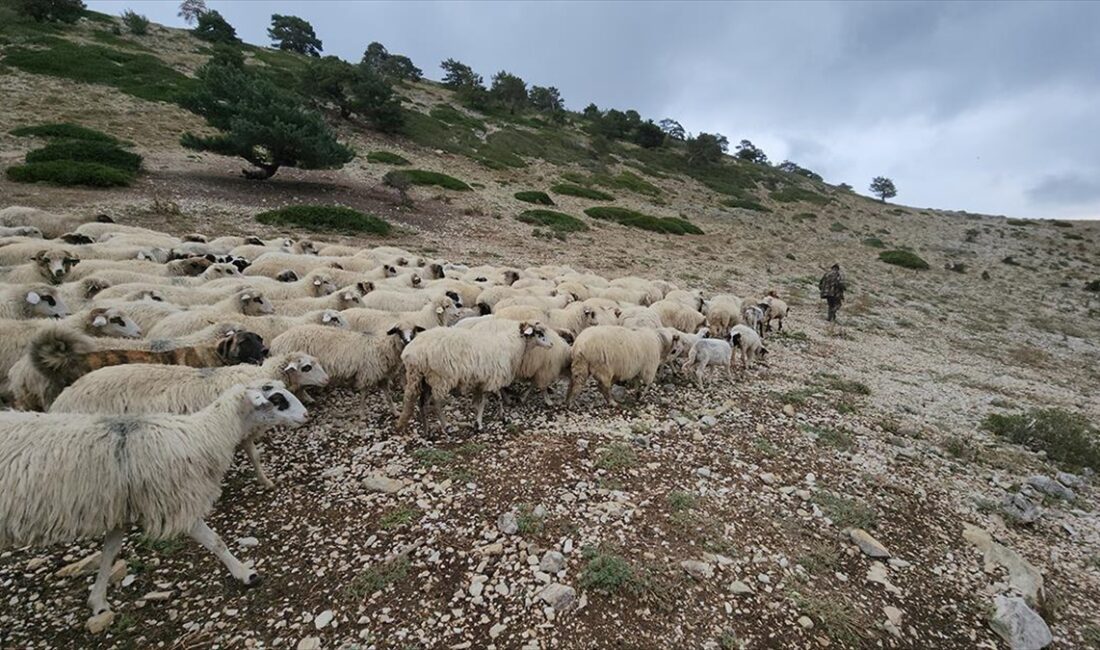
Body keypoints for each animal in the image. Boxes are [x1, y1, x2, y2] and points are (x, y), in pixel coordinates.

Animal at [0, 376, 308, 615]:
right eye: (277, 399)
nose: (306, 415)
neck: (203, 435)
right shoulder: (177, 501)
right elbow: (216, 542)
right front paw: (245, 573)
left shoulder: (119, 508)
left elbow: (110, 551)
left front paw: (97, 601)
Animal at [396, 318, 550, 433]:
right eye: (538, 332)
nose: (551, 345)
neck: (513, 345)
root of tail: (411, 353)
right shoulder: (493, 378)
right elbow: (488, 400)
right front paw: (482, 423)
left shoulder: (486, 379)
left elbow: (492, 398)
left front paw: (497, 417)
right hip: (441, 378)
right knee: (436, 402)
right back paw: (446, 427)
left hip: (424, 379)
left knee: (422, 403)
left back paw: (427, 431)